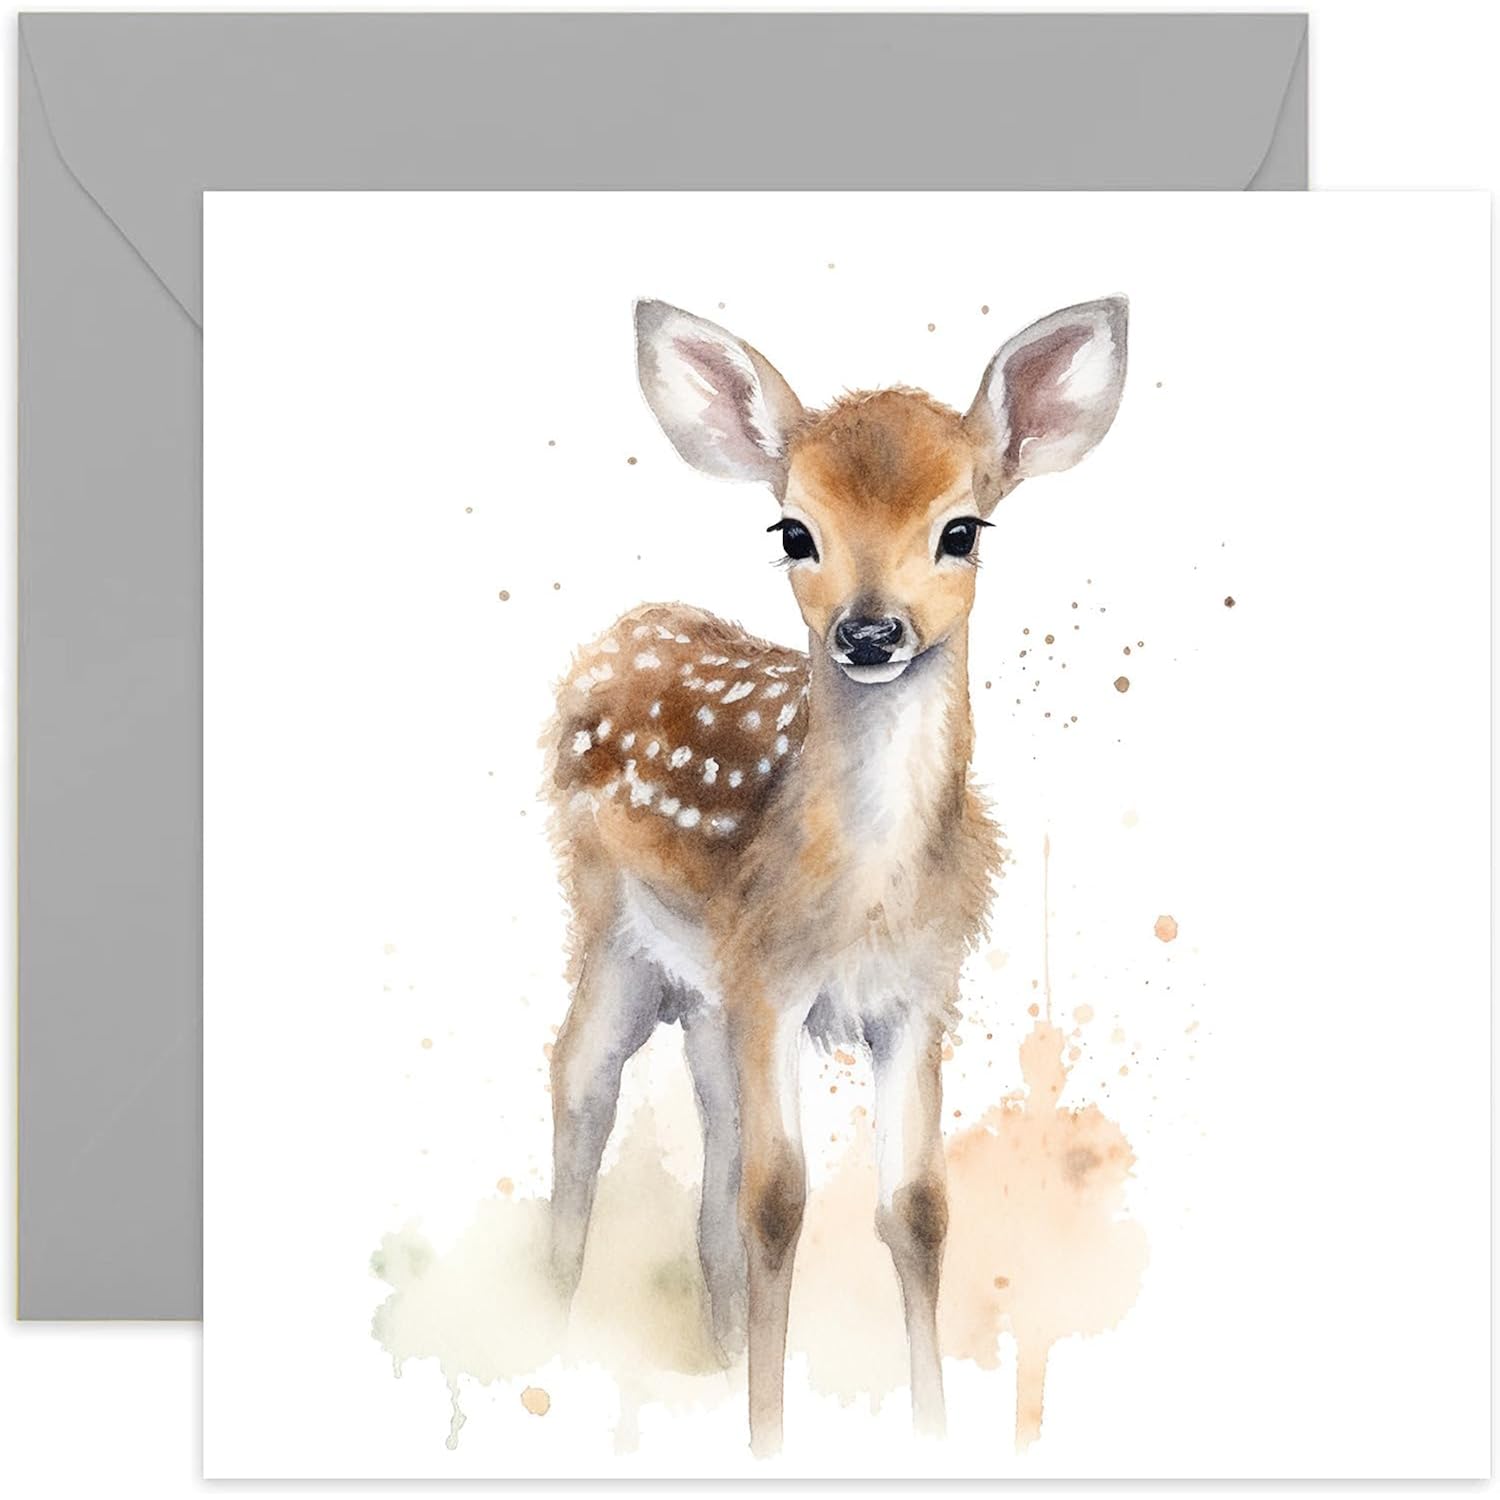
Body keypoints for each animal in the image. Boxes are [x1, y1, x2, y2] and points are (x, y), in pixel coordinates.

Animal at [543, 295, 1128, 1456]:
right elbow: (780, 1203)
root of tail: (621, 631)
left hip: (707, 989)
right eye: (793, 531)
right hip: (610, 920)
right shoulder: (775, 978)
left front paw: (930, 1433)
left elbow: (916, 1208)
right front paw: (768, 1440)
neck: (865, 898)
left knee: (714, 1146)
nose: (868, 631)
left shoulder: (917, 993)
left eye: (962, 529)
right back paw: (541, 1337)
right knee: (582, 1085)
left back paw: (714, 1361)